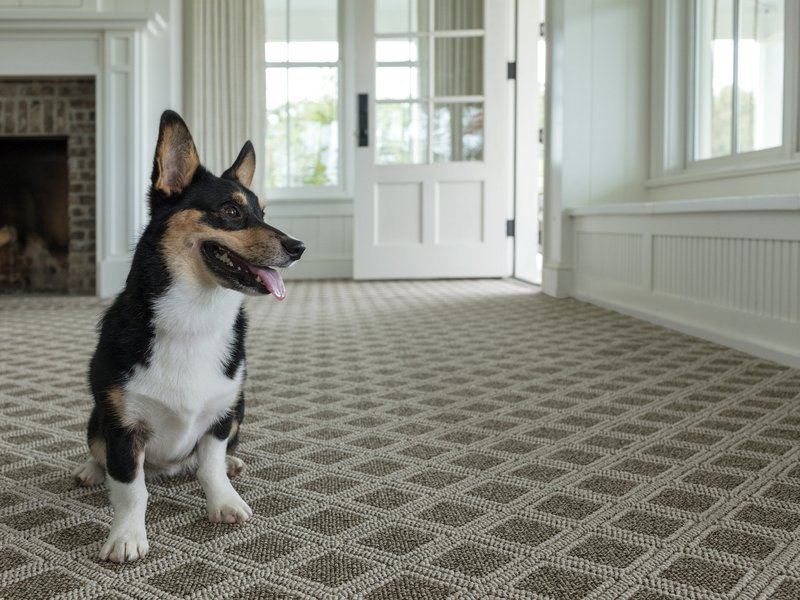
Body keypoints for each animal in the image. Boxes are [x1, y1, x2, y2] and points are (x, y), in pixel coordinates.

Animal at [72, 111, 304, 564]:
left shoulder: (221, 414)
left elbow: (210, 466)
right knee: (97, 448)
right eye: (231, 210)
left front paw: (225, 502)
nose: (298, 246)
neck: (196, 315)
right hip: (96, 416)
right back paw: (90, 470)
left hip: (240, 408)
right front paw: (126, 538)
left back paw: (232, 464)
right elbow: (130, 489)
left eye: (263, 212)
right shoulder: (123, 425)